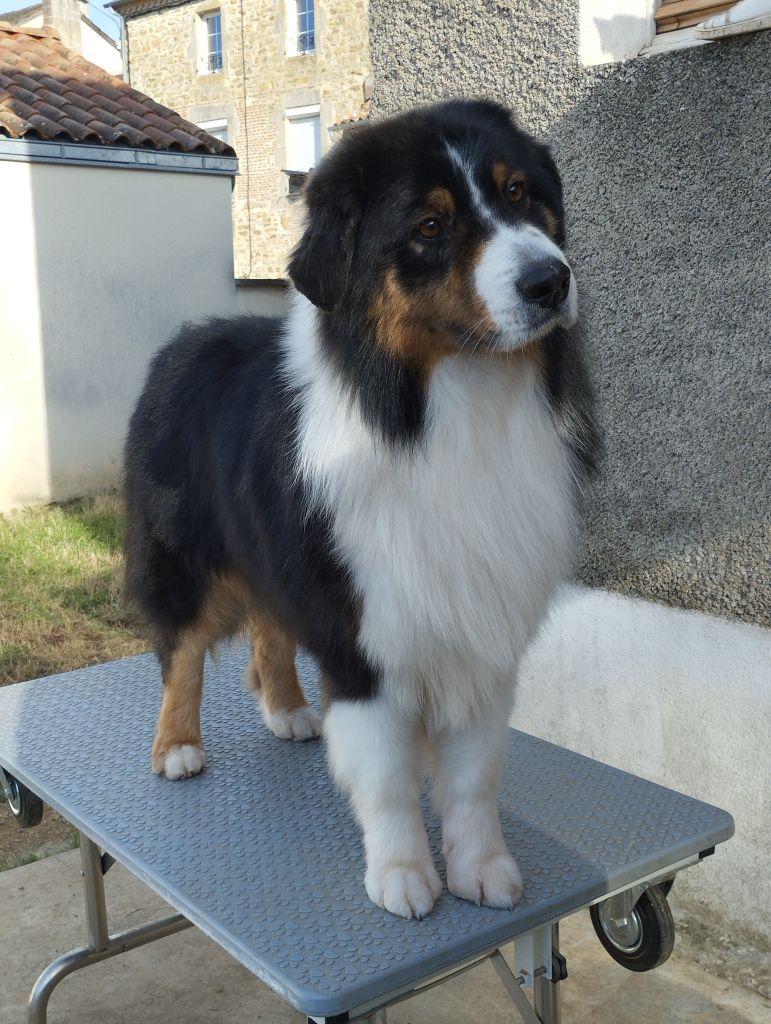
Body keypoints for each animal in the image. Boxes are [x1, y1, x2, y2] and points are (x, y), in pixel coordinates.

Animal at [124, 97, 593, 921]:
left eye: (518, 194)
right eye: (430, 226)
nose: (550, 280)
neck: (450, 404)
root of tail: (183, 340)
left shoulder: (481, 626)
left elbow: (472, 775)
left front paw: (482, 867)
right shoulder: (362, 632)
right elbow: (386, 774)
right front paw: (402, 874)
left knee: (269, 628)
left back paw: (285, 709)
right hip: (186, 554)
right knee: (179, 647)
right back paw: (176, 746)